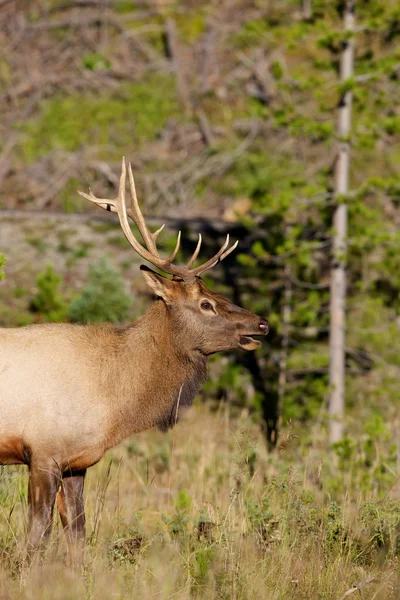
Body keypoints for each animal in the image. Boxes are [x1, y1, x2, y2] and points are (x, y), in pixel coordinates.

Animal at [0, 158, 270, 556]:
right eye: (206, 304)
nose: (262, 323)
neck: (113, 399)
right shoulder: (43, 450)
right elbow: (37, 537)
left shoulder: (77, 461)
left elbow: (78, 534)